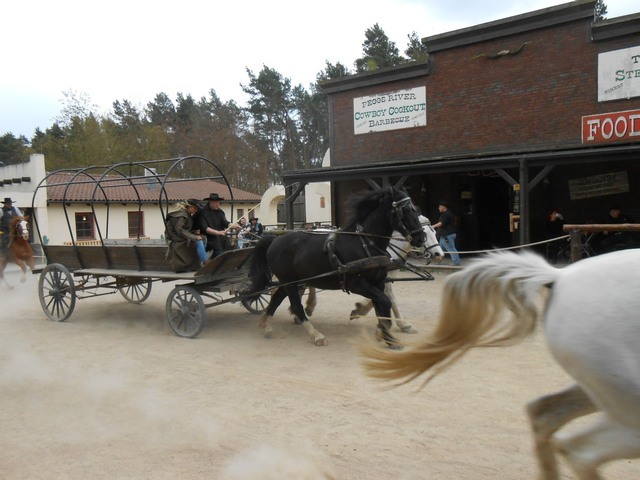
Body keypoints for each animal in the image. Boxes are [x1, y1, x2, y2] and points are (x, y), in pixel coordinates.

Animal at [249, 186, 424, 346]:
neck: (365, 244)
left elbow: (381, 306)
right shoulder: (357, 284)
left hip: (291, 281)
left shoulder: (378, 283)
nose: (421, 238)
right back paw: (316, 335)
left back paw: (266, 327)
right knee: (295, 305)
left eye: (415, 209)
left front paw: (384, 333)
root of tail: (275, 239)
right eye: (406, 210)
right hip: (289, 281)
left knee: (276, 299)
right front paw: (388, 337)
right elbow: (385, 302)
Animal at [302, 218, 442, 334]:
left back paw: (308, 306)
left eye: (434, 232)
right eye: (425, 234)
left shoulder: (383, 278)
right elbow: (390, 297)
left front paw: (361, 310)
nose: (439, 254)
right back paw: (308, 306)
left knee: (309, 284)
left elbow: (381, 296)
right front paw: (404, 324)